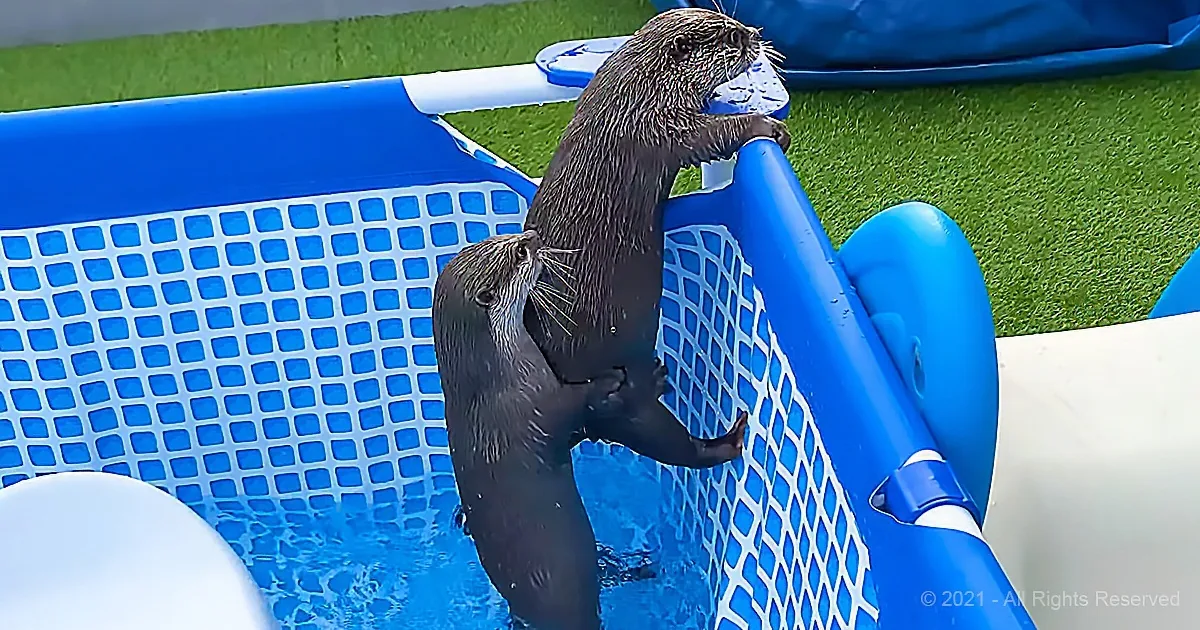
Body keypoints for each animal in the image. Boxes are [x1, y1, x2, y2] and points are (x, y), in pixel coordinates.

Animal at [433, 229, 636, 630]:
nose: (533, 235)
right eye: (520, 252)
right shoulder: (538, 405)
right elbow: (575, 409)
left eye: (504, 237)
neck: (499, 379)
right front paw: (608, 383)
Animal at [523, 8, 786, 468]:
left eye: (735, 24)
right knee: (676, 445)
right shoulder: (661, 127)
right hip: (633, 410)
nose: (755, 34)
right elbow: (715, 135)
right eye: (732, 38)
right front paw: (767, 126)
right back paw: (731, 435)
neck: (637, 91)